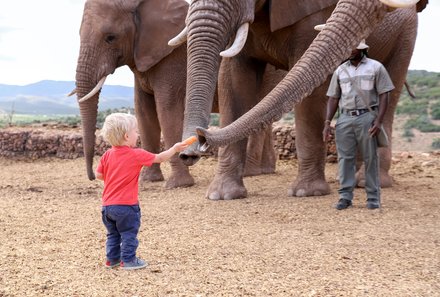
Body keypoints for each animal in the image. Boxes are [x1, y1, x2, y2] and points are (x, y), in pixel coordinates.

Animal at [73, 0, 278, 188]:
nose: (93, 176)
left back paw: (251, 172)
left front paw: (178, 184)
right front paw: (149, 180)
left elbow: (167, 110)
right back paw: (265, 170)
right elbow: (144, 112)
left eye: (110, 37)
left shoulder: (171, 61)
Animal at [168, 0, 426, 200]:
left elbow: (310, 86)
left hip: (405, 34)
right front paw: (222, 195)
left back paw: (368, 182)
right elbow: (233, 79)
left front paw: (307, 193)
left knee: (390, 89)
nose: (191, 150)